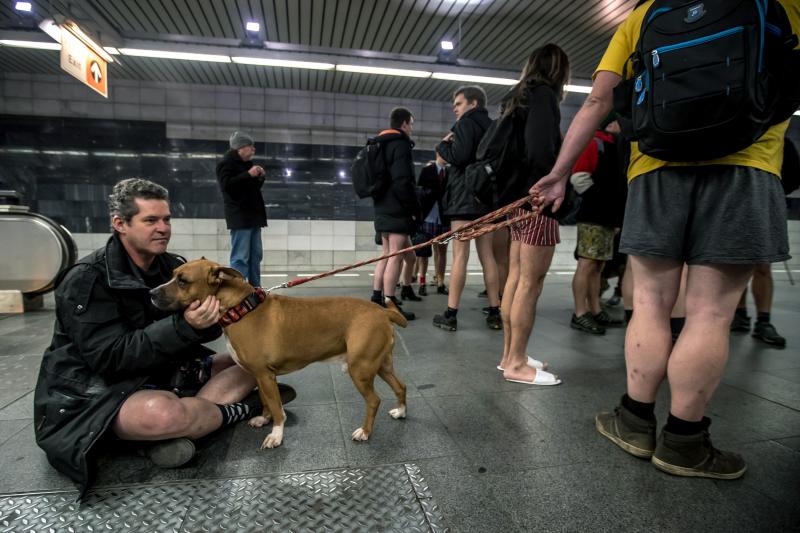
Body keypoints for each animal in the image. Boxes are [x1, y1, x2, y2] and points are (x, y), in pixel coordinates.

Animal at [151, 258, 410, 448]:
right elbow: (267, 401)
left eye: (182, 281)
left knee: (374, 400)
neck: (241, 309)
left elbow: (277, 408)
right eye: (173, 275)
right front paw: (263, 418)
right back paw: (400, 412)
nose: (152, 293)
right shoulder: (261, 376)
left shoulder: (265, 375)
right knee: (400, 387)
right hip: (380, 364)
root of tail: (382, 312)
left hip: (361, 369)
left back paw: (364, 432)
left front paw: (276, 435)